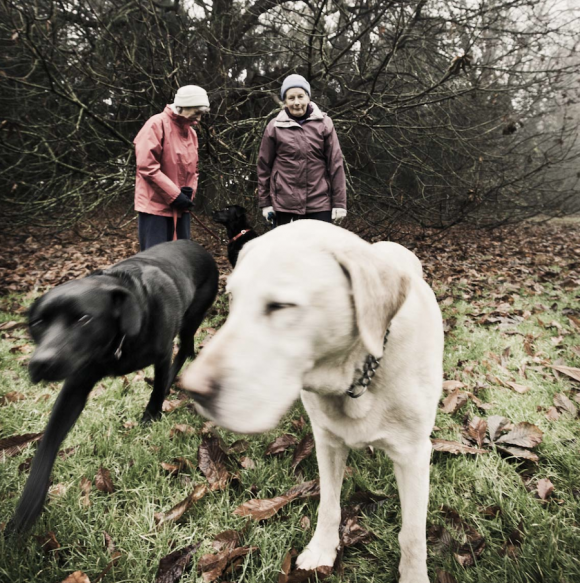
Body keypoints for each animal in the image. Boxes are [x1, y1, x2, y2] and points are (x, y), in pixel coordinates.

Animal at [9, 238, 218, 532]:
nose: (40, 363)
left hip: (192, 317)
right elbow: (48, 442)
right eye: (38, 323)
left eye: (83, 319)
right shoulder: (77, 383)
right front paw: (26, 510)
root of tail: (196, 244)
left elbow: (156, 391)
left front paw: (151, 416)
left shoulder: (162, 353)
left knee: (185, 348)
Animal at [182, 220, 444, 583]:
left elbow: (413, 534)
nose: (190, 389)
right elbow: (329, 504)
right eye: (232, 298)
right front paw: (321, 550)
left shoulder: (413, 455)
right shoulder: (328, 441)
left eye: (280, 306)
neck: (359, 375)